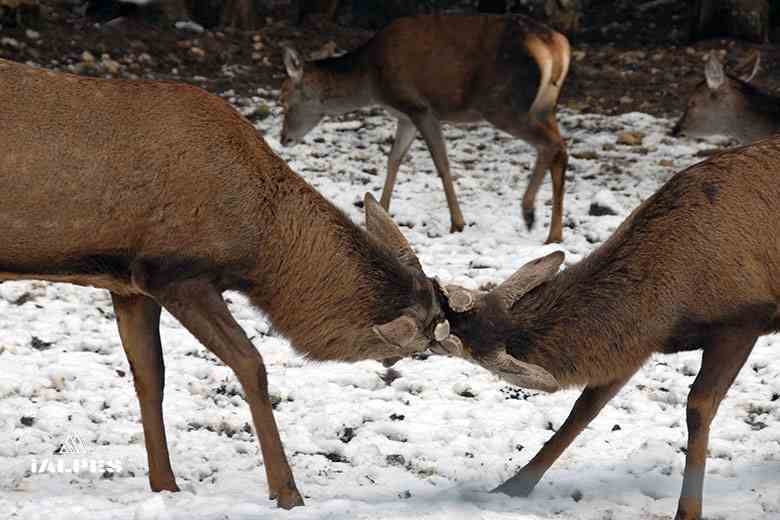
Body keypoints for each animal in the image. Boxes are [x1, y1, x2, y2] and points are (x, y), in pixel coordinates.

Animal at [0, 57, 464, 509]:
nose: (462, 335)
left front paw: (165, 485)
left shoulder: (129, 283)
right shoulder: (174, 273)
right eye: (430, 331)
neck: (256, 248)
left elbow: (150, 377)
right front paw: (287, 492)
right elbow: (250, 364)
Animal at [279, 14, 571, 243]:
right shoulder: (406, 117)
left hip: (503, 105)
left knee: (550, 144)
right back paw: (554, 234)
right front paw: (381, 212)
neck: (372, 80)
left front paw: (458, 222)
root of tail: (557, 46)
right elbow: (394, 159)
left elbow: (441, 163)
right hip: (544, 105)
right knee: (561, 149)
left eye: (285, 99)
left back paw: (529, 212)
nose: (283, 138)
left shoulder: (421, 108)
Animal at [432, 139, 780, 520]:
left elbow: (698, 406)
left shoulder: (743, 321)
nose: (433, 291)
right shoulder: (637, 346)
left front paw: (687, 511)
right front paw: (513, 487)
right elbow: (584, 408)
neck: (667, 305)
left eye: (450, 342)